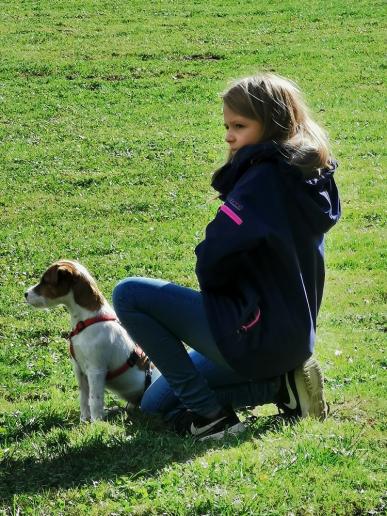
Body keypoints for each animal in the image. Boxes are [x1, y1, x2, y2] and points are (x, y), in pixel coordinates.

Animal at [24, 260, 161, 422]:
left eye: (45, 281)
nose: (25, 294)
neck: (85, 321)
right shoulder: (79, 369)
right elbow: (84, 398)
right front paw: (84, 420)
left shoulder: (96, 370)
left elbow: (94, 400)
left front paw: (96, 423)